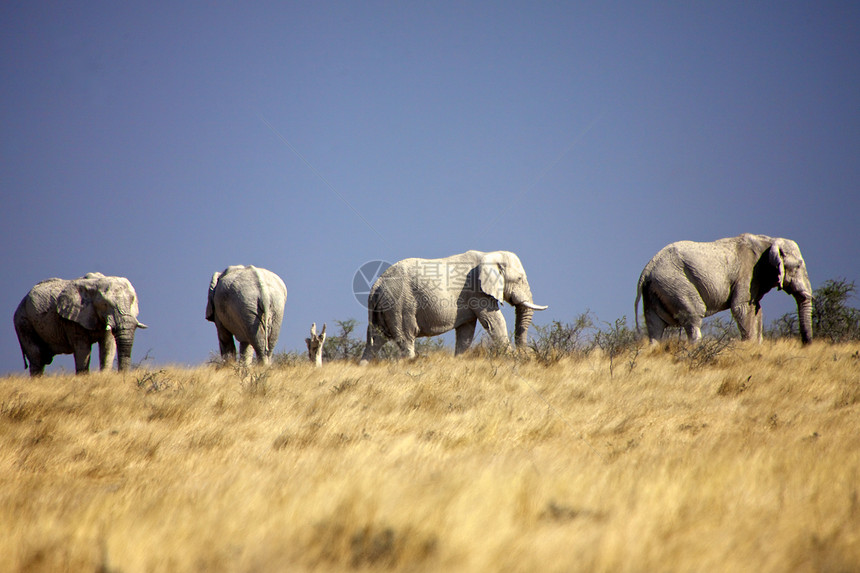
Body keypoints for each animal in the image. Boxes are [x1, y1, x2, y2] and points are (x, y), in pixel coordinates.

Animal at [14, 272, 148, 376]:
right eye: (105, 304)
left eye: (132, 300)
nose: (122, 375)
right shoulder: (72, 319)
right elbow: (83, 349)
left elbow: (108, 346)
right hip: (23, 322)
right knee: (36, 355)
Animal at [360, 248, 548, 360]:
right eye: (520, 279)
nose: (528, 353)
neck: (490, 254)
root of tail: (376, 285)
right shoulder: (477, 291)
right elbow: (494, 321)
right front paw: (512, 360)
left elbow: (466, 331)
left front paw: (459, 361)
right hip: (399, 305)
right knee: (406, 338)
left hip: (384, 308)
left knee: (374, 342)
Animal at [632, 233, 812, 342]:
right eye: (797, 266)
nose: (806, 343)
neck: (769, 241)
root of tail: (646, 271)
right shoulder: (748, 273)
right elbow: (741, 308)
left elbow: (756, 310)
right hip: (676, 285)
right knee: (694, 317)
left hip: (656, 291)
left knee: (655, 327)